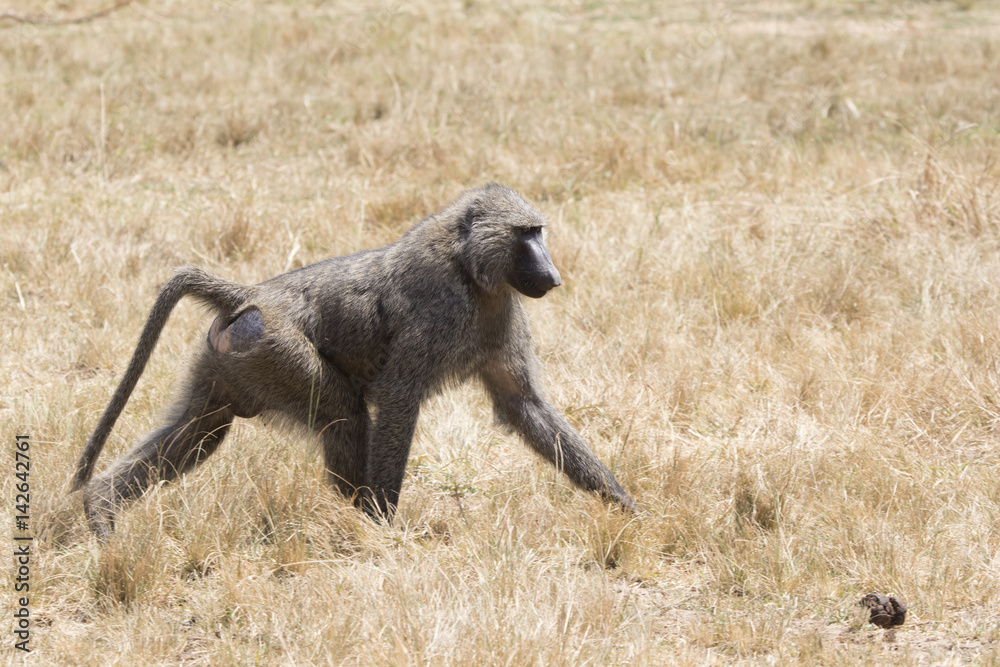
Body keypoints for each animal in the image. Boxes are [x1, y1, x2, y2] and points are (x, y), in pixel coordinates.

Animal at [72, 183, 637, 536]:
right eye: (527, 234)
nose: (553, 276)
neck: (469, 267)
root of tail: (252, 295)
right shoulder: (437, 307)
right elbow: (398, 398)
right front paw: (383, 525)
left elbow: (523, 404)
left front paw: (623, 505)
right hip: (279, 351)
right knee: (343, 414)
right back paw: (355, 522)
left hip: (232, 361)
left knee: (203, 428)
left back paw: (101, 509)